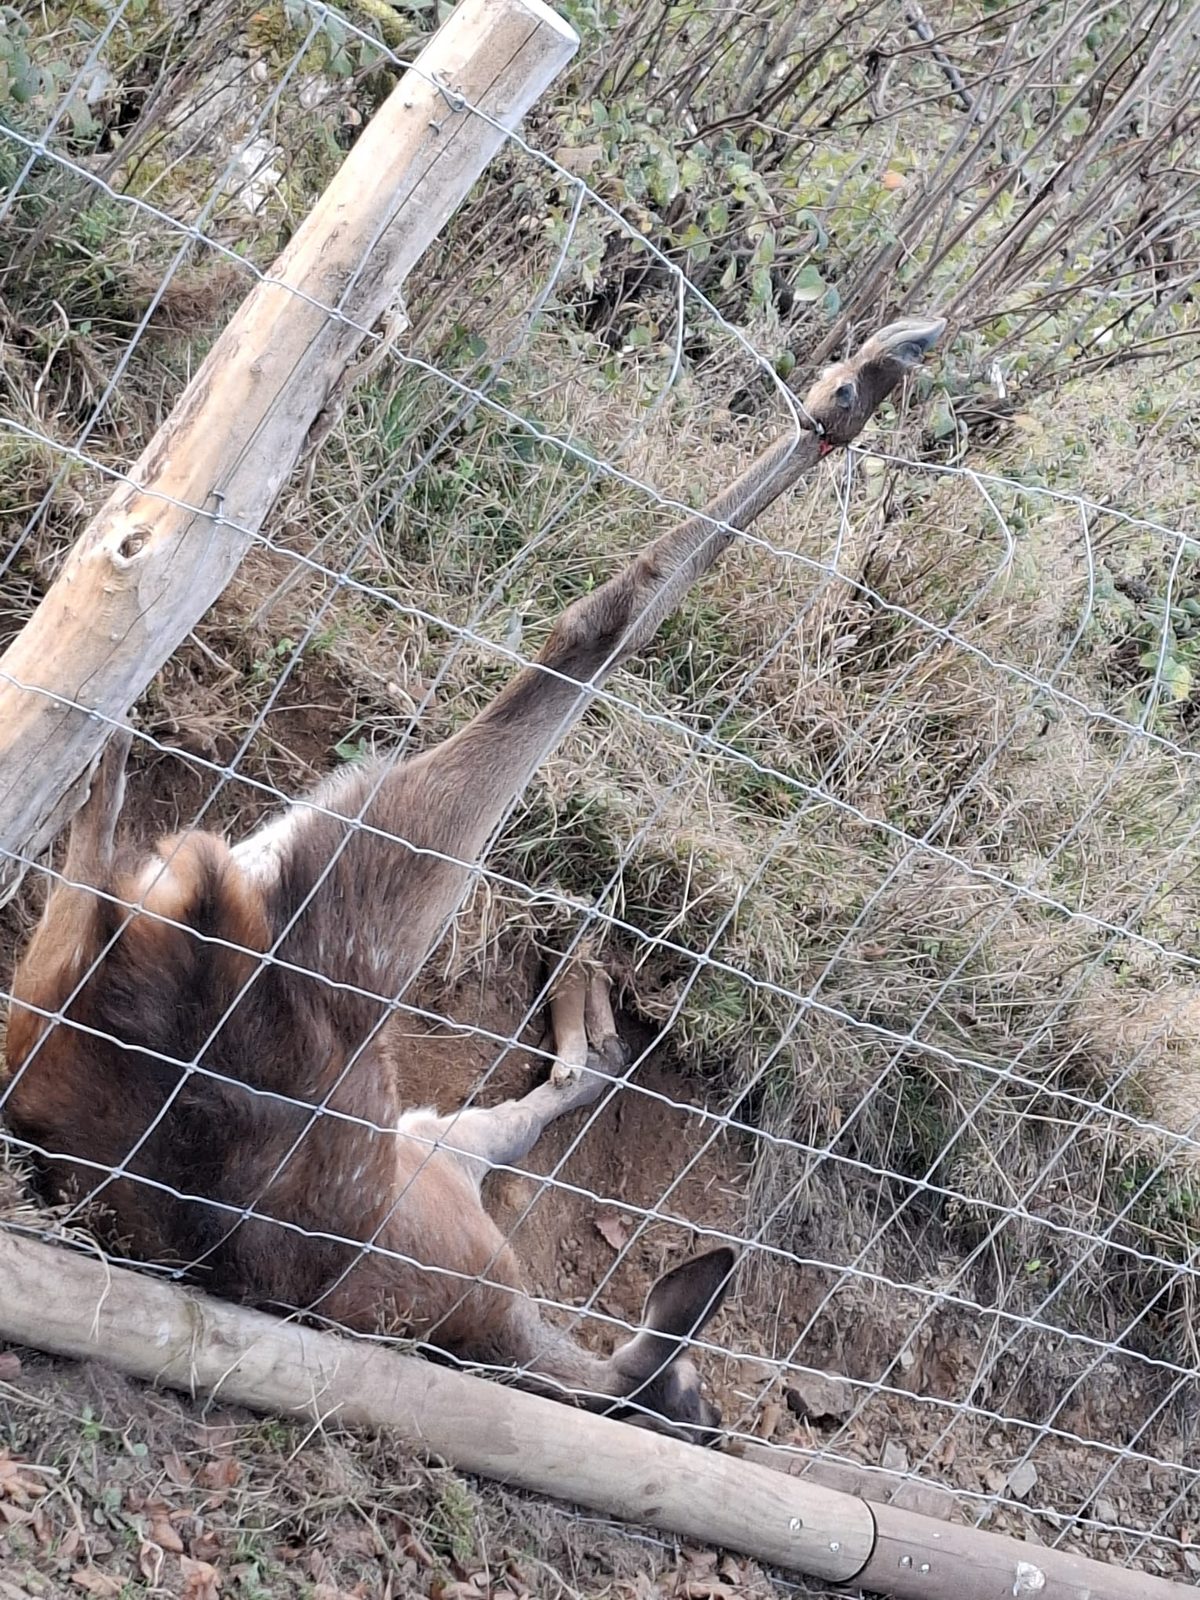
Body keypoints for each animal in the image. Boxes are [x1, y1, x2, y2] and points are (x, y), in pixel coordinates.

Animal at [2, 315, 944, 1443]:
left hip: (311, 876)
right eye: (707, 1401)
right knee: (597, 625)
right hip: (381, 865)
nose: (715, 1421)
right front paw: (590, 993)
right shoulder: (446, 1155)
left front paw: (589, 1001)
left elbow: (565, 1084)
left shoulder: (437, 1140)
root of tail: (182, 927)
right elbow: (566, 1086)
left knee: (90, 852)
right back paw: (866, 377)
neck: (525, 1347)